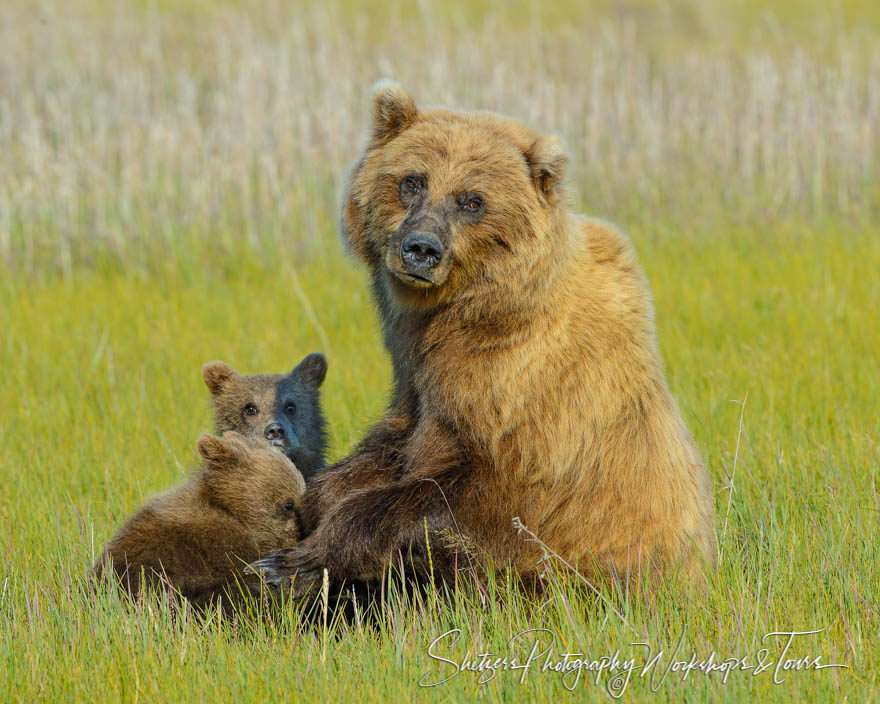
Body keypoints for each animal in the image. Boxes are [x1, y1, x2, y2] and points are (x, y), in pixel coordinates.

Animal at [251, 82, 720, 596]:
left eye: (471, 201)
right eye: (412, 181)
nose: (421, 249)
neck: (472, 313)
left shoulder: (522, 398)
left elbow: (462, 494)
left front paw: (294, 561)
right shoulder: (418, 372)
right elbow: (392, 444)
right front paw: (311, 506)